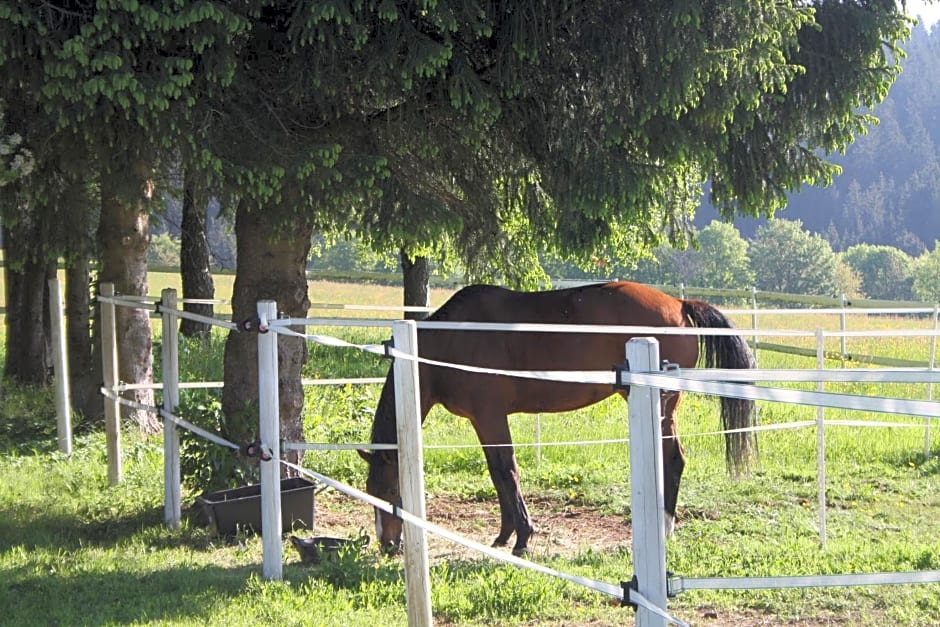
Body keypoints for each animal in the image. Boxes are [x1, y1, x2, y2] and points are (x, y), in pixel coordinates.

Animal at [360, 282, 756, 556]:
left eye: (389, 491)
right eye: (370, 490)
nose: (387, 545)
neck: (451, 342)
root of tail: (680, 305)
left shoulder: (491, 416)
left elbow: (507, 471)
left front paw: (522, 539)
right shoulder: (481, 421)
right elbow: (497, 473)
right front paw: (504, 535)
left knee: (672, 459)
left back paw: (665, 528)